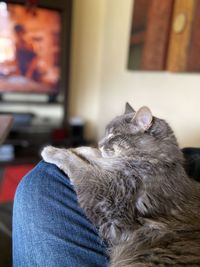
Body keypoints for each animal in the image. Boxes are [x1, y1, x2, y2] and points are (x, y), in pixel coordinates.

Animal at [41, 104, 200, 266]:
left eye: (113, 136)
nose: (99, 143)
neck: (155, 160)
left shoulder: (108, 196)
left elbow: (78, 165)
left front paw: (53, 151)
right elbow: (94, 155)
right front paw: (79, 148)